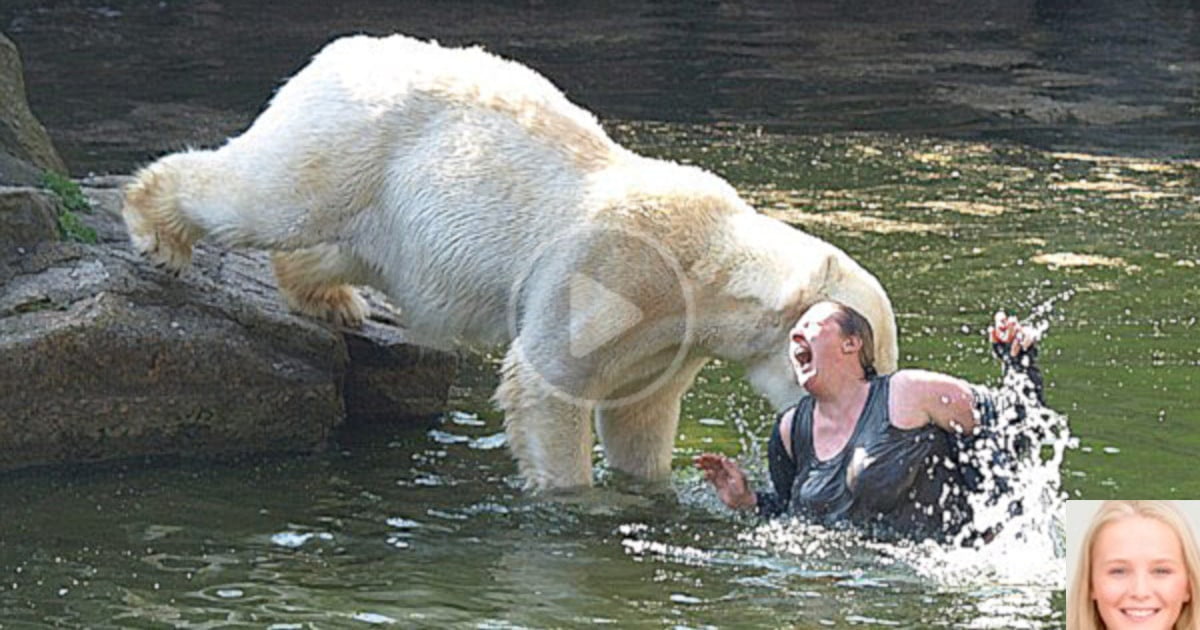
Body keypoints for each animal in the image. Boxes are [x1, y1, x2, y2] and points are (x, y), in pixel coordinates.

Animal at [121, 34, 898, 491]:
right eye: (869, 359)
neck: (704, 266)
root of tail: (336, 51)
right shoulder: (614, 271)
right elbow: (549, 382)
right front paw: (572, 498)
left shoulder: (668, 344)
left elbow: (639, 415)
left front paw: (647, 489)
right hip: (351, 138)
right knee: (267, 195)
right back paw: (156, 229)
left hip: (388, 204)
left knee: (340, 244)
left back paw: (329, 297)